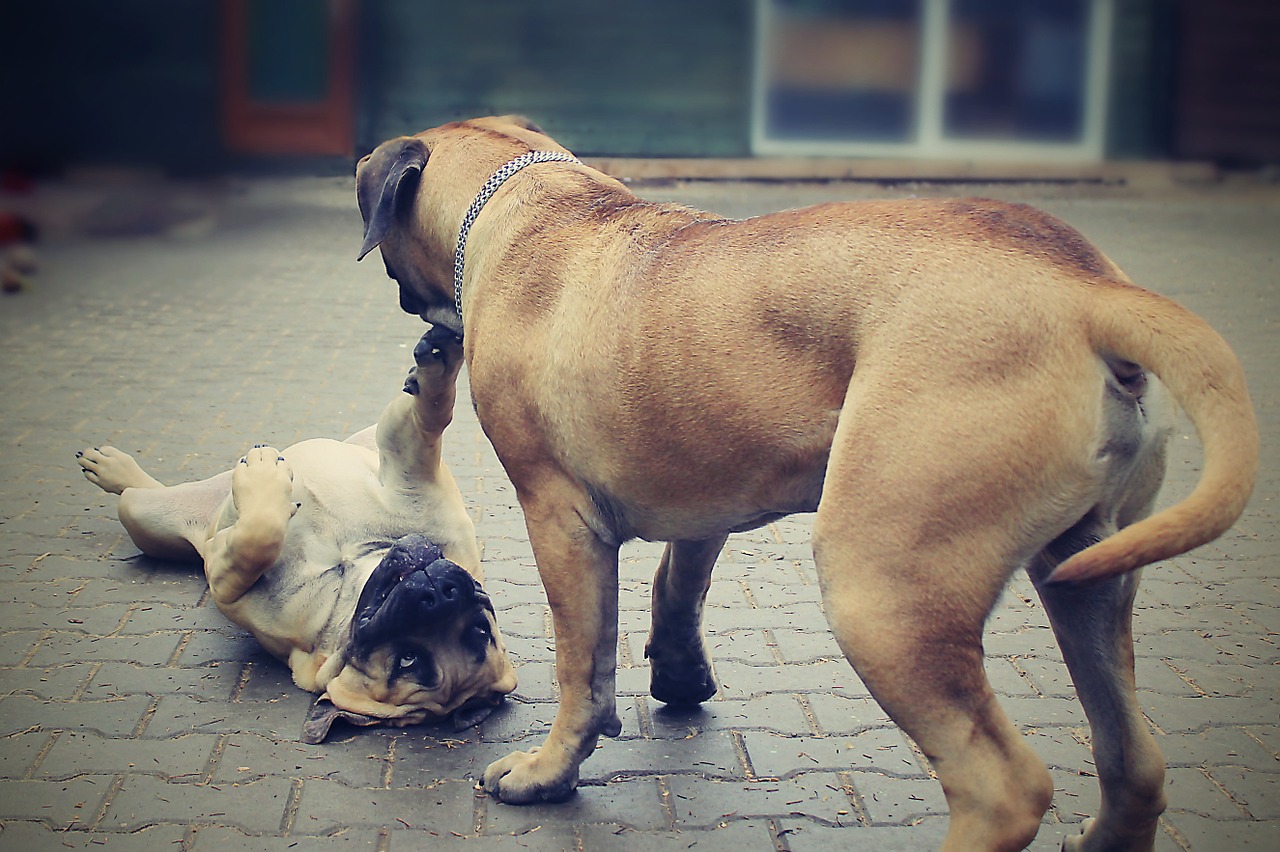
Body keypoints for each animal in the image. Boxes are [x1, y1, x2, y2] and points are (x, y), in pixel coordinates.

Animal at [355, 114, 1254, 849]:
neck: (531, 201)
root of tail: (1087, 289)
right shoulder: (704, 479)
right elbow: (678, 582)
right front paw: (679, 674)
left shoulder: (559, 518)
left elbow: (584, 662)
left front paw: (549, 773)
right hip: (1086, 576)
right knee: (1134, 761)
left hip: (880, 587)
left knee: (1004, 788)